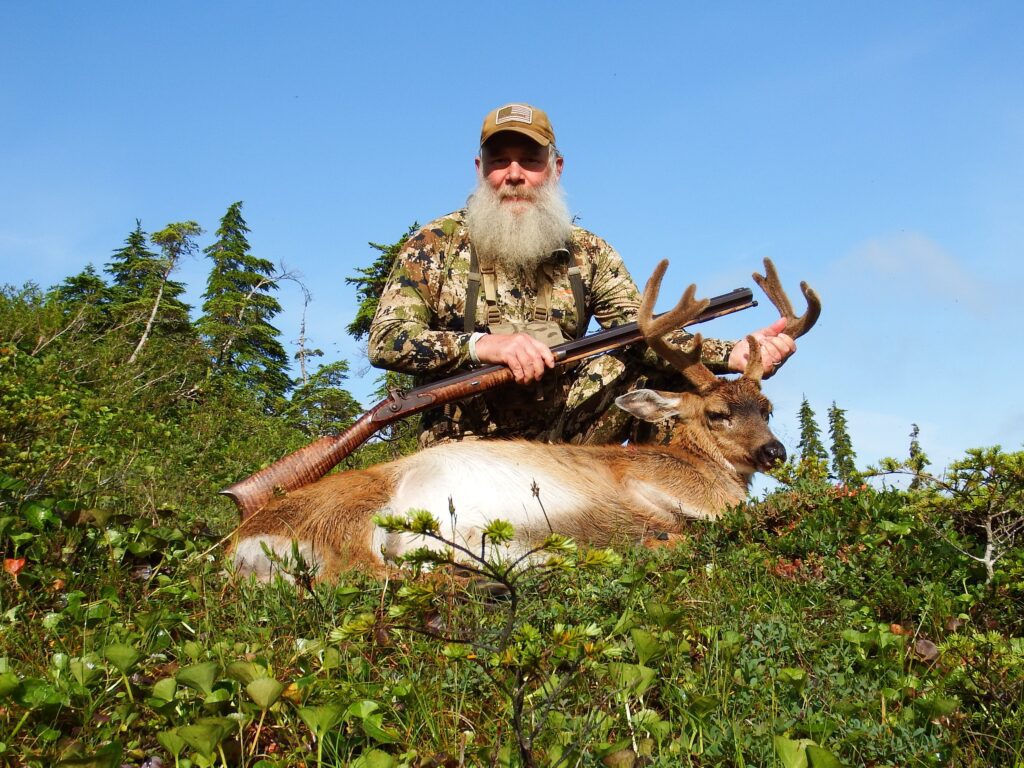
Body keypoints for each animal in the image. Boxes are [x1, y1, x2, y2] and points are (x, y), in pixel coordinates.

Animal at [228, 259, 819, 581]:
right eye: (718, 414)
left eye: (767, 408)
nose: (775, 452)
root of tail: (238, 545)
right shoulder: (667, 492)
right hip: (349, 514)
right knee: (360, 574)